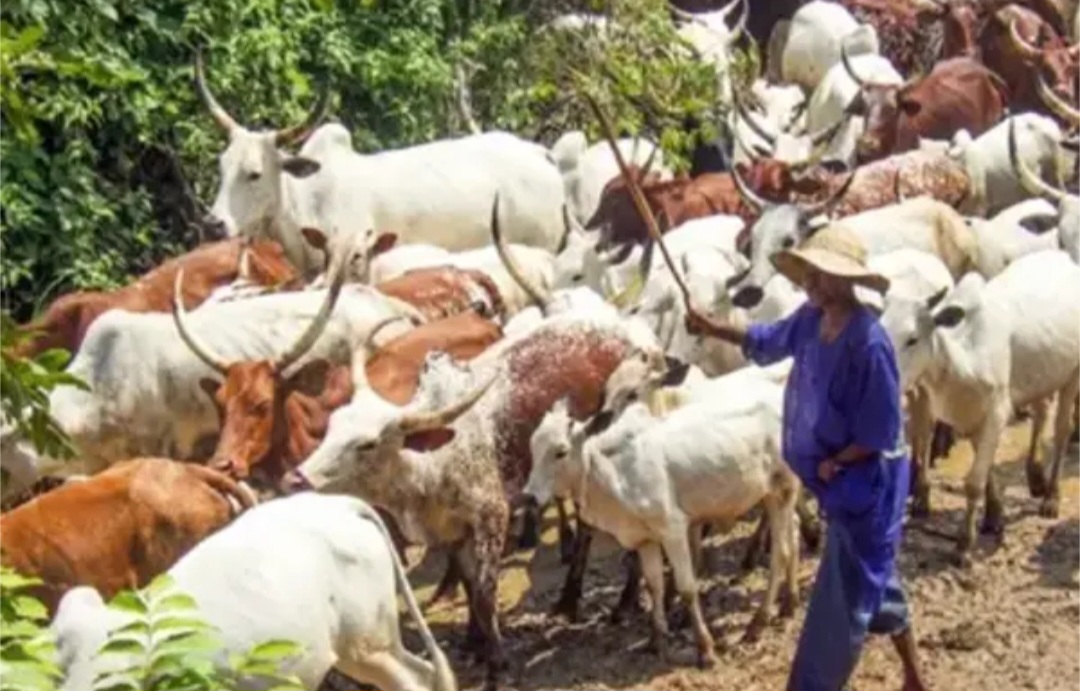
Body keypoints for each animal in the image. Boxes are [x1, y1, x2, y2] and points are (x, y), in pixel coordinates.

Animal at [524, 377, 803, 665]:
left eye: (561, 452)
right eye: (533, 448)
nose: (529, 496)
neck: (613, 470)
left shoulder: (673, 531)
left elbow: (687, 587)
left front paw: (705, 648)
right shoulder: (644, 539)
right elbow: (653, 586)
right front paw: (656, 640)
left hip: (784, 489)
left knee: (781, 553)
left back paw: (758, 624)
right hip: (771, 495)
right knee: (793, 534)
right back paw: (789, 605)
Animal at [881, 250, 1075, 557]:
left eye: (912, 339)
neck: (963, 361)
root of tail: (1063, 257)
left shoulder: (997, 411)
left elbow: (973, 483)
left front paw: (964, 544)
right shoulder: (970, 417)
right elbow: (987, 470)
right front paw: (994, 517)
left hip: (1072, 376)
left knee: (1061, 431)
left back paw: (1051, 498)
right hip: (1041, 376)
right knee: (1041, 413)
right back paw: (1035, 477)